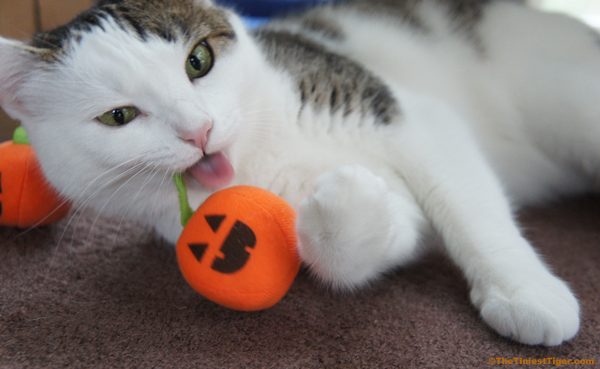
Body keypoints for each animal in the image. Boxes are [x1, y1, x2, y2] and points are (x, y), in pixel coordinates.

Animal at [0, 0, 596, 344]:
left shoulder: (410, 114)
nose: (199, 130)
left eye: (198, 61)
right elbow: (381, 235)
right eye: (118, 117)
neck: (263, 151)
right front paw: (345, 203)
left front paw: (525, 292)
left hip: (563, 98)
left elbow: (469, 208)